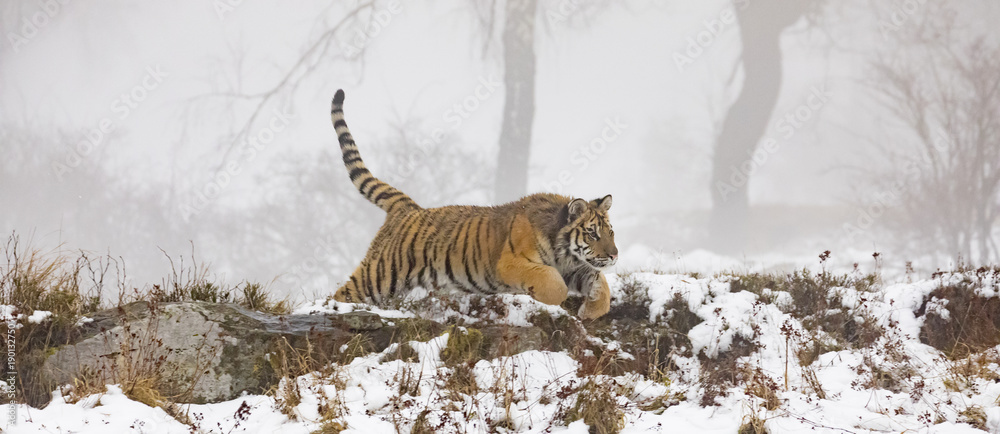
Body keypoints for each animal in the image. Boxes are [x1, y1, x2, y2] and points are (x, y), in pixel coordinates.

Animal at [329, 89, 618, 320]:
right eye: (592, 234)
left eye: (611, 233)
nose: (614, 255)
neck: (564, 253)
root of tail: (408, 207)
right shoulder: (512, 263)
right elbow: (555, 285)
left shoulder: (577, 267)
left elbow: (601, 284)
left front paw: (589, 311)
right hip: (379, 275)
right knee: (343, 293)